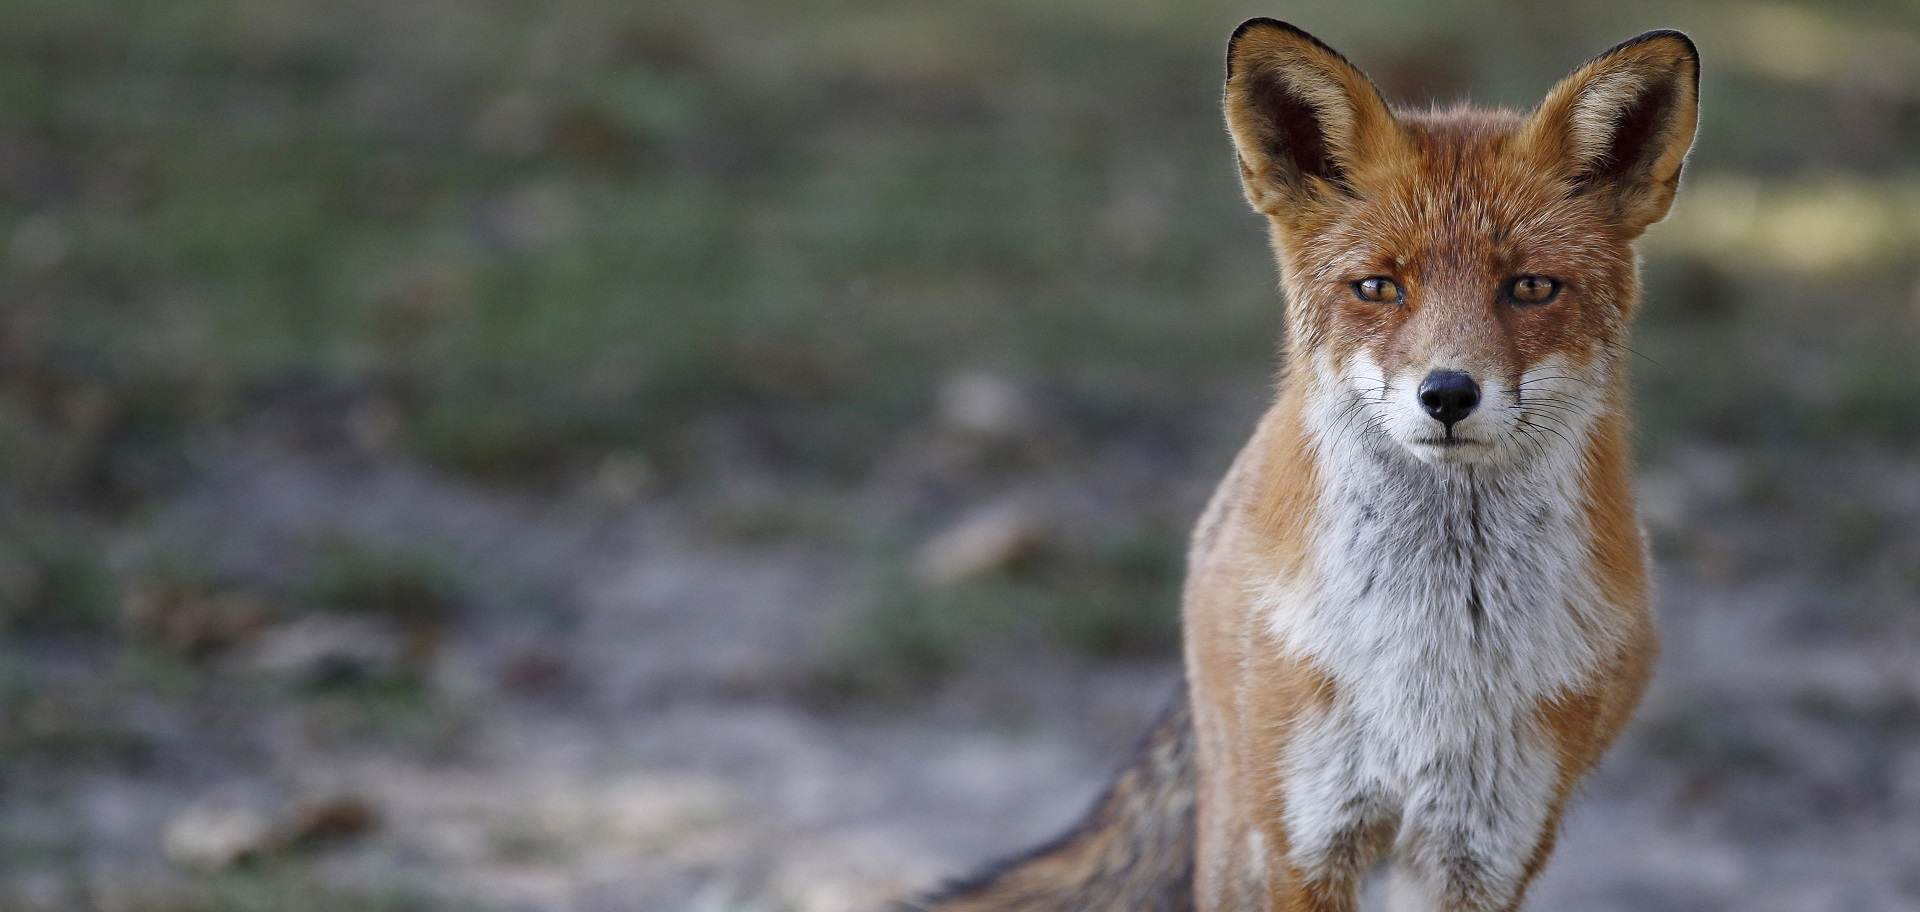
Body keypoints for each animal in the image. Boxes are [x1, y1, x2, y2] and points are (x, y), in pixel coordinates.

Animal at [906, 16, 1704, 912]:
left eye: (1531, 288)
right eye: (1378, 287)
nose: (1448, 394)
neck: (1431, 662)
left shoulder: (1480, 853)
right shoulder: (1304, 843)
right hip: (1237, 836)